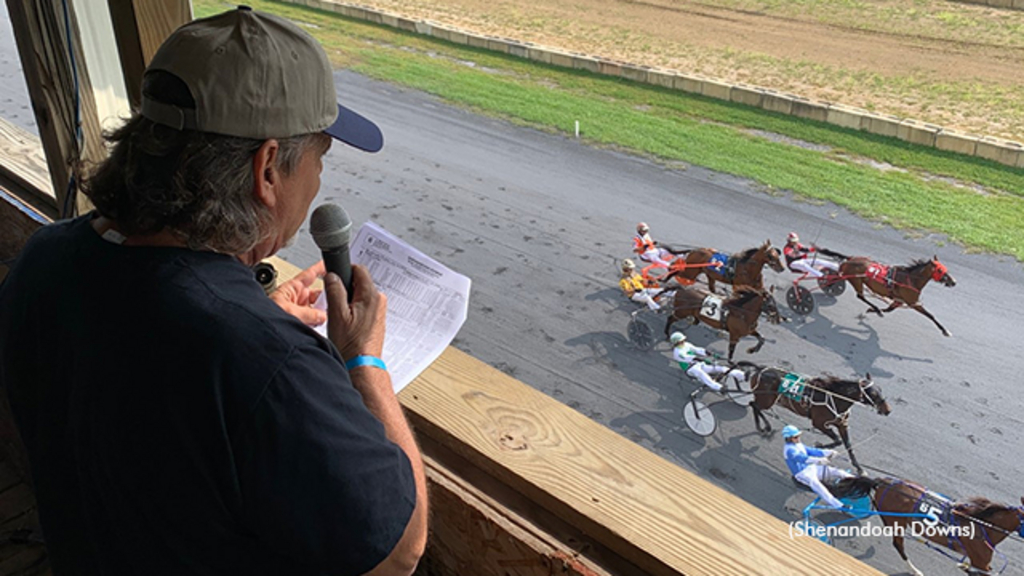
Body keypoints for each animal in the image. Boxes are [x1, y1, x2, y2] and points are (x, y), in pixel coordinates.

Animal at [737, 360, 888, 473]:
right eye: (873, 394)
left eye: (881, 390)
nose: (888, 410)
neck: (835, 398)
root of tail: (761, 369)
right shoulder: (819, 423)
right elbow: (837, 441)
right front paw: (821, 445)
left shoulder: (841, 424)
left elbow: (848, 445)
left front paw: (859, 468)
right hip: (766, 400)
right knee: (754, 404)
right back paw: (765, 427)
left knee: (754, 405)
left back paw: (764, 427)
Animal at [839, 475, 1024, 573]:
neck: (983, 526)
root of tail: (882, 482)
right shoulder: (981, 564)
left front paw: (962, 565)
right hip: (896, 521)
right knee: (898, 545)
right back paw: (914, 570)